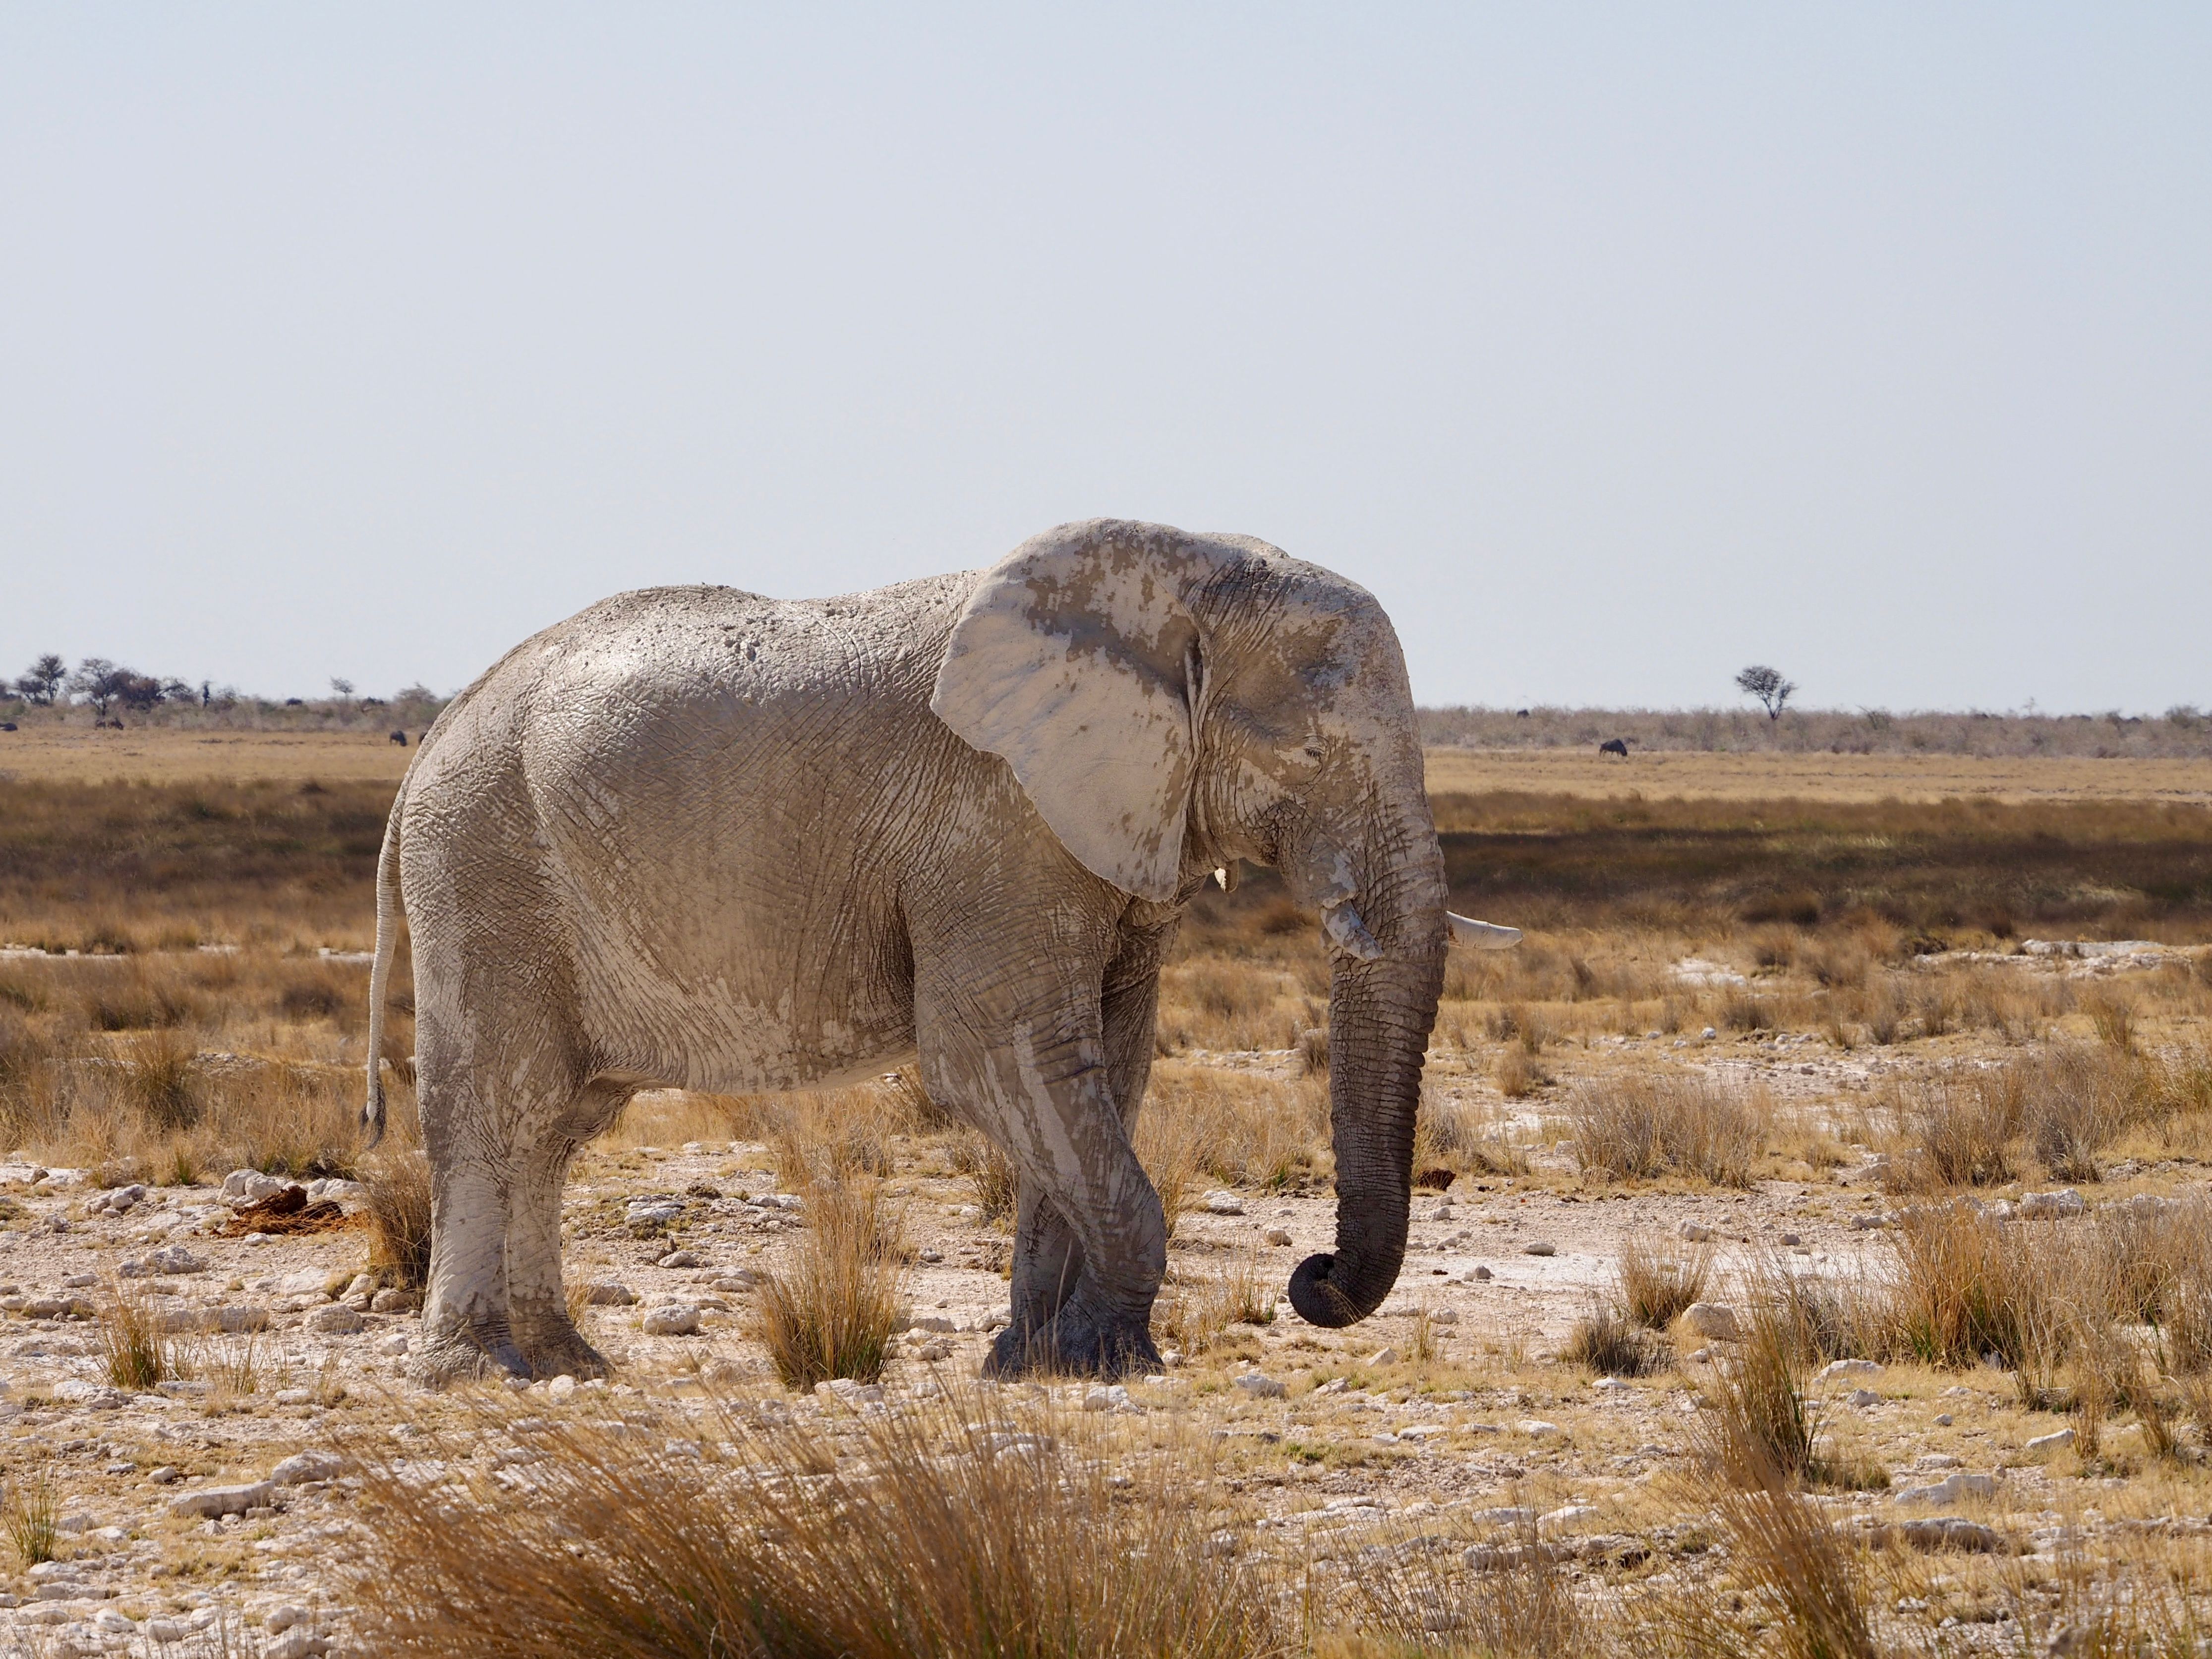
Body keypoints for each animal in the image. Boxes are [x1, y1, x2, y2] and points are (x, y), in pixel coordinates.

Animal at [363, 518, 1520, 1382]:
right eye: (1310, 751)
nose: (1313, 1276)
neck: (1172, 581)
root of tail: (435, 735)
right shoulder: (998, 821)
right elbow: (997, 1055)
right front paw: (1111, 1360)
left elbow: (1105, 1067)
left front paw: (1038, 1362)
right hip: (483, 867)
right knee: (503, 1106)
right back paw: (478, 1370)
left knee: (559, 1126)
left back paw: (564, 1360)